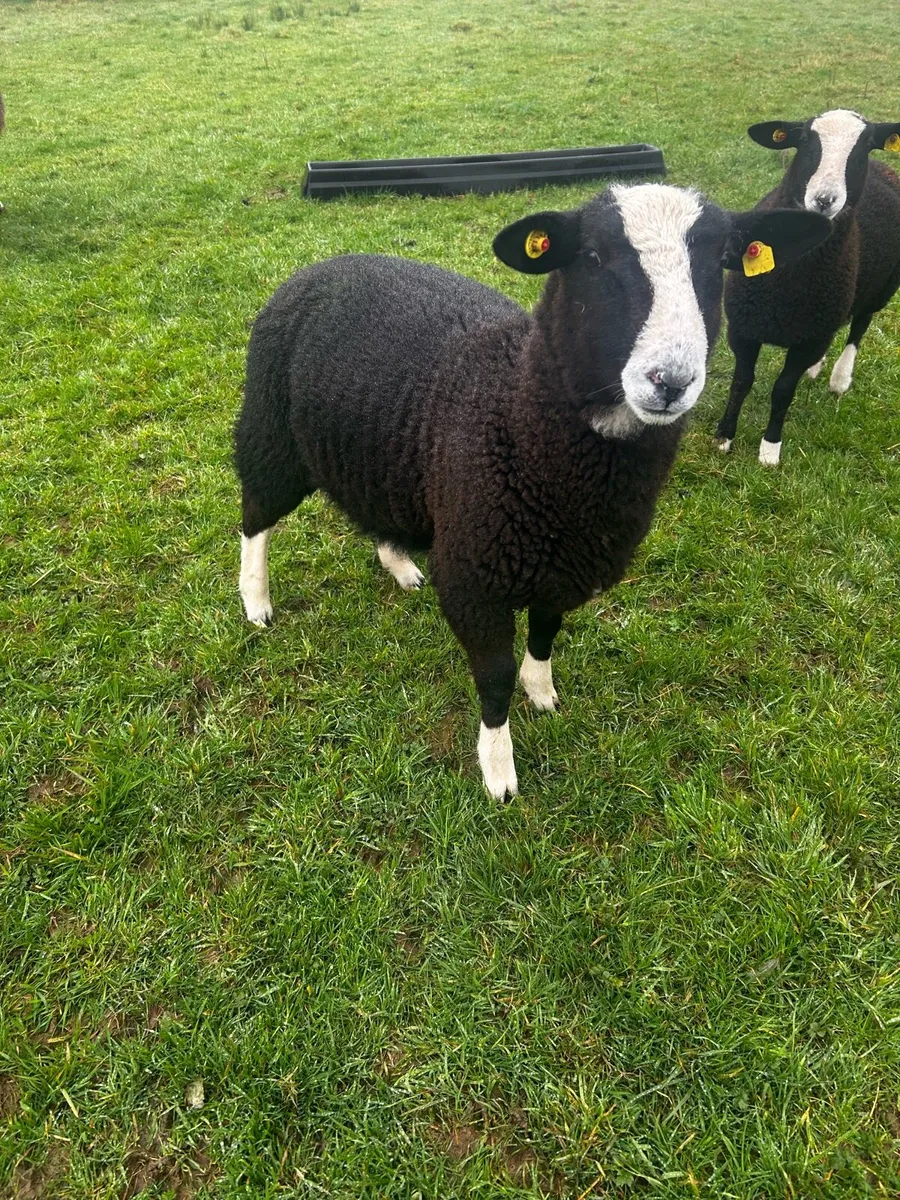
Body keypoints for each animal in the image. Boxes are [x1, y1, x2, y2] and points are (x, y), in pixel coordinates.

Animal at [234, 183, 828, 797]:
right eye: (591, 257)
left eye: (724, 261)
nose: (671, 381)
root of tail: (321, 265)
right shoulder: (474, 579)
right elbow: (493, 678)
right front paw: (499, 771)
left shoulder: (564, 567)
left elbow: (545, 632)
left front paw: (541, 693)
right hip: (271, 431)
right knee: (255, 514)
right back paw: (256, 602)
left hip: (382, 459)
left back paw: (398, 565)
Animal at [715, 108, 900, 466]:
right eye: (802, 139)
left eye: (866, 145)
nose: (824, 200)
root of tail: (884, 168)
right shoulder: (744, 328)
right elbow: (741, 382)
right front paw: (723, 437)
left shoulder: (807, 339)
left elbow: (783, 390)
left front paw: (770, 449)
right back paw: (817, 368)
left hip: (882, 289)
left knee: (859, 326)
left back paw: (840, 379)